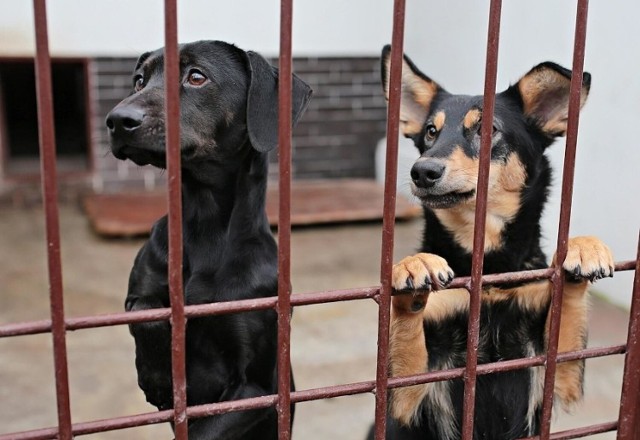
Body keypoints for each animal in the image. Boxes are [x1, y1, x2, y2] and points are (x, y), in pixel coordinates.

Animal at [106, 39, 312, 438]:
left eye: (197, 77)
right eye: (139, 80)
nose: (117, 120)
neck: (206, 226)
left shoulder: (255, 389)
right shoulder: (137, 295)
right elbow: (146, 312)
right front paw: (157, 376)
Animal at [370, 46, 616, 438]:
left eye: (489, 130)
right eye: (430, 132)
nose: (422, 170)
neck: (488, 265)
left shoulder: (561, 377)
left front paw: (582, 248)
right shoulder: (404, 403)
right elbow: (406, 333)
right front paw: (414, 267)